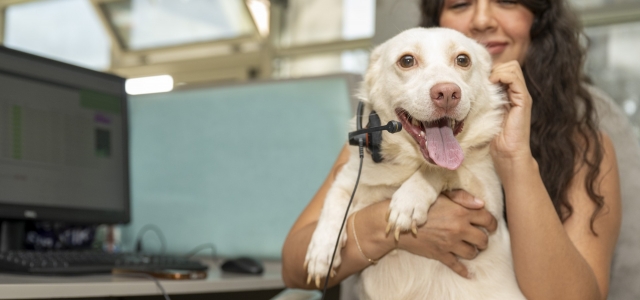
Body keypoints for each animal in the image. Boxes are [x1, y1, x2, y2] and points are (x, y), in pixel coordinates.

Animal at [304, 27, 524, 298]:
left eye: (463, 60)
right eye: (407, 61)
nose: (447, 93)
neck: (408, 162)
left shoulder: (486, 198)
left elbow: (447, 168)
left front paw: (409, 200)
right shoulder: (346, 181)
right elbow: (332, 204)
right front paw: (321, 250)